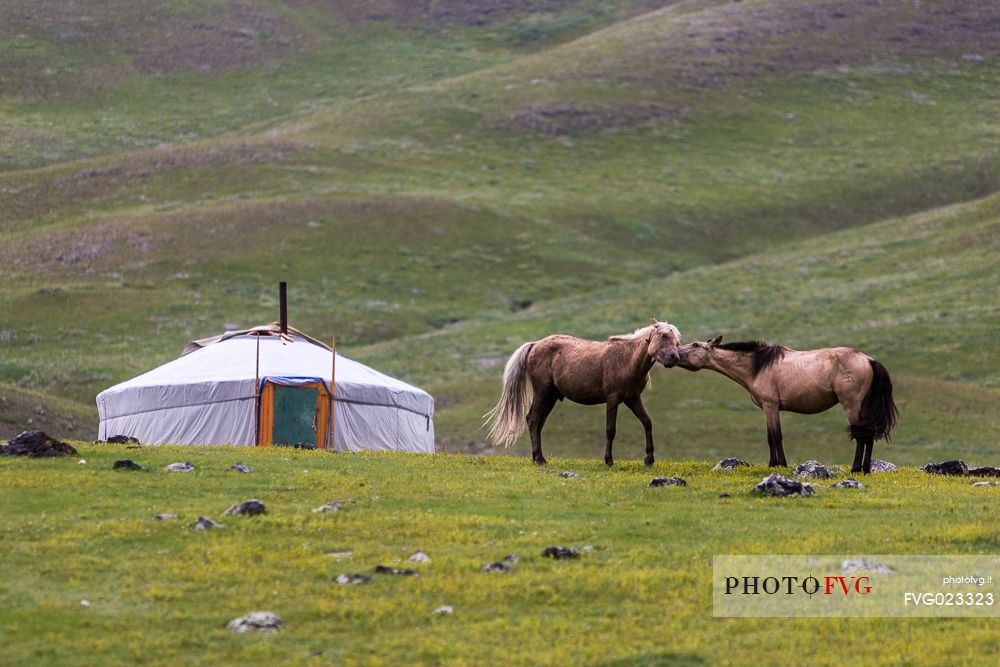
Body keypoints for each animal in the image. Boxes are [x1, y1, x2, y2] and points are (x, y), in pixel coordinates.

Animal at [482, 320, 680, 468]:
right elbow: (610, 430)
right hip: (543, 392)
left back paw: (538, 457)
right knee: (532, 420)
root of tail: (535, 345)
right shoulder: (613, 399)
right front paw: (609, 460)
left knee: (538, 423)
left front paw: (649, 459)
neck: (626, 359)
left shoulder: (632, 398)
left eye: (677, 340)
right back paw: (539, 459)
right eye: (663, 335)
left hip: (550, 396)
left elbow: (647, 423)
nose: (674, 357)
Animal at [672, 340, 900, 474]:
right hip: (863, 405)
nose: (674, 355)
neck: (756, 367)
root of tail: (869, 360)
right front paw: (775, 463)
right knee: (868, 435)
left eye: (695, 345)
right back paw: (866, 469)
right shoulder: (769, 408)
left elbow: (774, 436)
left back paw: (855, 469)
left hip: (851, 404)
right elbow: (771, 436)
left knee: (861, 436)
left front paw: (778, 464)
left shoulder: (770, 406)